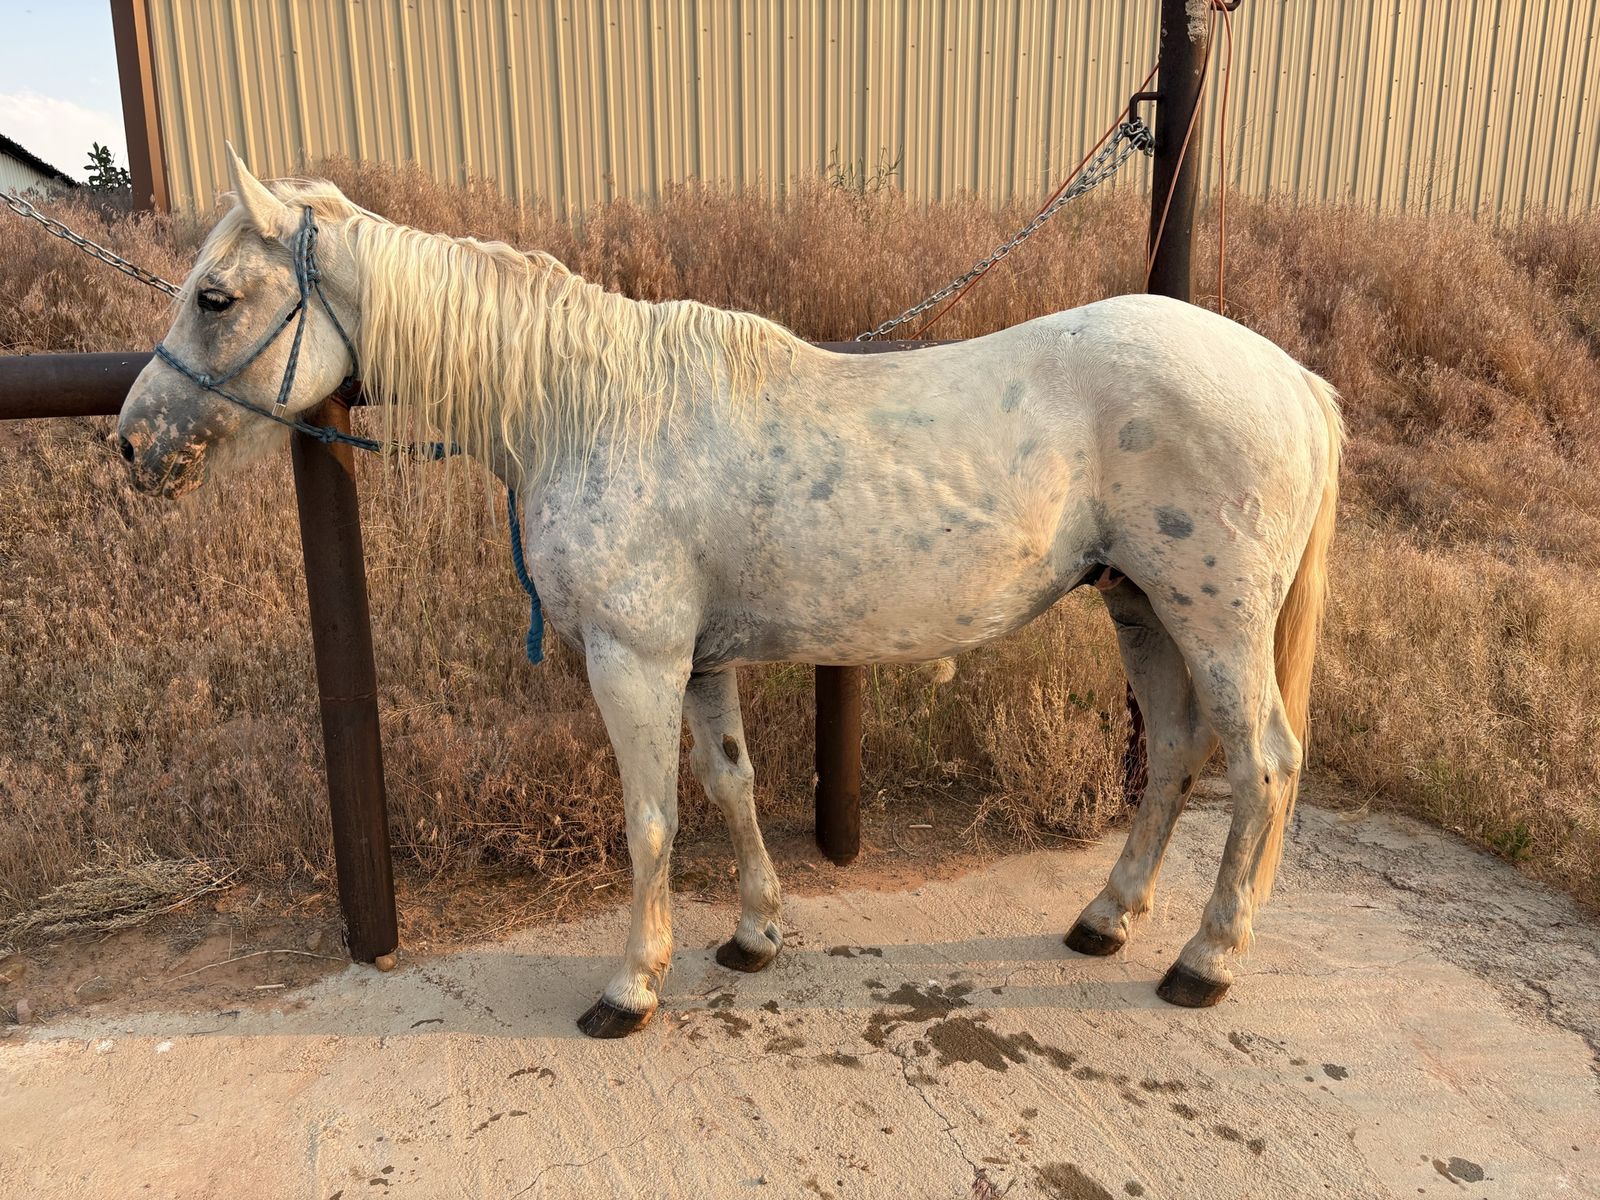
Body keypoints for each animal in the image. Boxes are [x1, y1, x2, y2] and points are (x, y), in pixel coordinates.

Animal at [117, 151, 1341, 1038]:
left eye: (215, 297)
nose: (131, 445)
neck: (585, 409)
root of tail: (1290, 378)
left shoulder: (634, 660)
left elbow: (650, 817)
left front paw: (630, 988)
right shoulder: (699, 661)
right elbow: (730, 786)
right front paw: (753, 936)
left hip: (1213, 618)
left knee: (1263, 764)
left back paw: (1204, 960)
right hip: (1139, 605)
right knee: (1176, 754)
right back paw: (1105, 920)